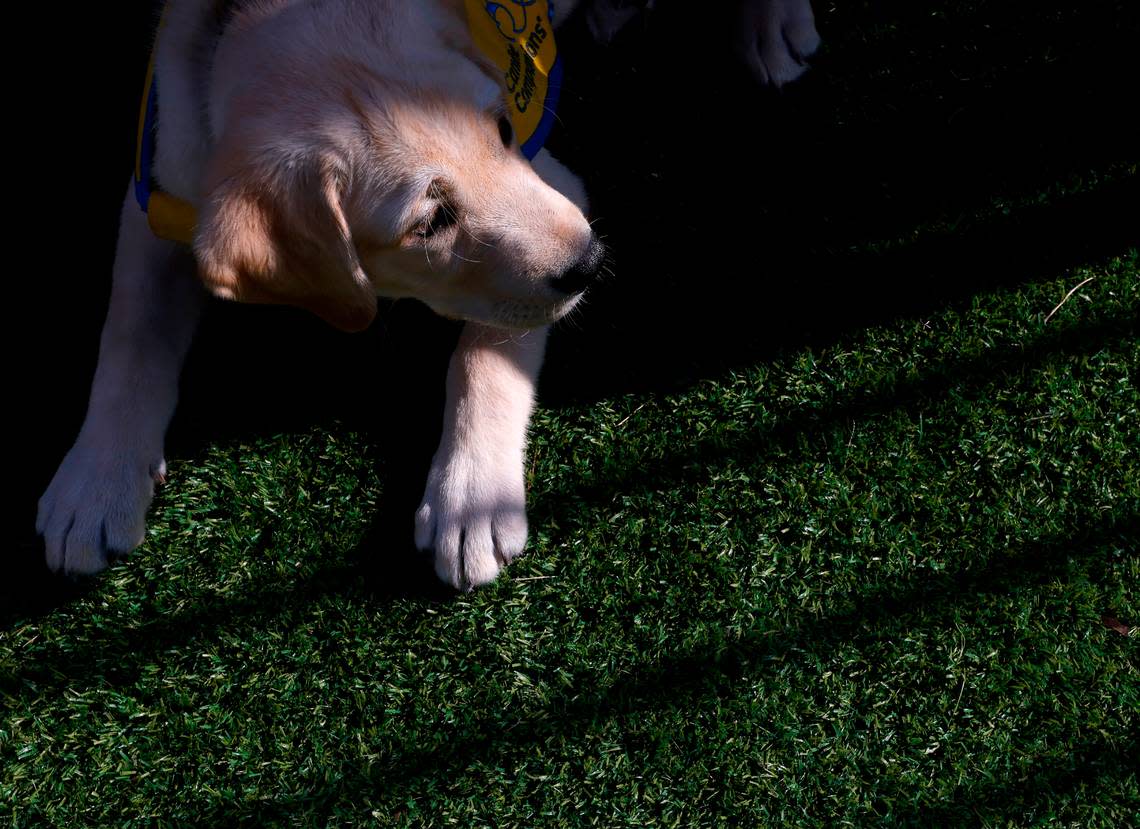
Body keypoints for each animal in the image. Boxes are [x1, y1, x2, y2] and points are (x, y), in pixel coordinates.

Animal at [37, 0, 820, 588]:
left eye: (503, 128)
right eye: (428, 221)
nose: (592, 263)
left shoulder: (556, 181)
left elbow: (482, 354)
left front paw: (471, 495)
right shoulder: (160, 191)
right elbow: (129, 331)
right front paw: (94, 480)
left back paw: (771, 24)